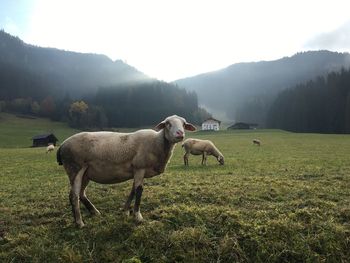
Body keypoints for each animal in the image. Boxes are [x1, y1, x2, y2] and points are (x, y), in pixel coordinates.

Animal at [56, 115, 196, 229]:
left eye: (184, 124)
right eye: (168, 123)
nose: (180, 134)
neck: (157, 143)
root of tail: (62, 146)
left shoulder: (137, 171)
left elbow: (133, 190)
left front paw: (125, 211)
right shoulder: (140, 167)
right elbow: (139, 191)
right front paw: (137, 216)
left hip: (85, 173)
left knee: (80, 193)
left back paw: (94, 212)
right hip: (74, 168)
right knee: (74, 196)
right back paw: (79, 223)